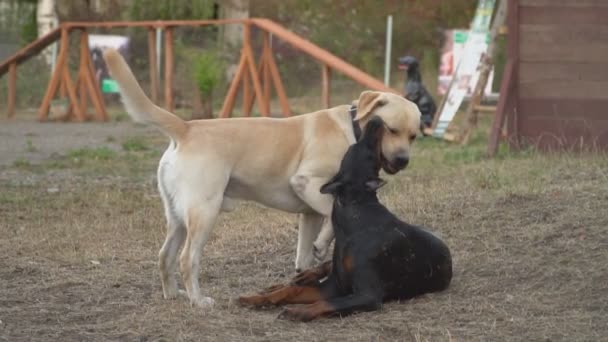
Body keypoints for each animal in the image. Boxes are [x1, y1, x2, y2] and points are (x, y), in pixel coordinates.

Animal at [103, 49, 418, 308]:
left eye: (413, 135)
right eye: (390, 129)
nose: (403, 160)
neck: (352, 130)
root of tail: (186, 127)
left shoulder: (308, 214)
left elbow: (305, 253)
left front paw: (306, 272)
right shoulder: (307, 183)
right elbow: (331, 212)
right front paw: (321, 245)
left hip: (178, 217)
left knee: (164, 255)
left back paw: (172, 294)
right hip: (204, 212)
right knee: (186, 259)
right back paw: (198, 301)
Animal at [238, 116, 452, 322]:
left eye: (368, 152)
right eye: (360, 148)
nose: (376, 119)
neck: (356, 214)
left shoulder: (367, 295)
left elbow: (326, 303)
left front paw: (298, 311)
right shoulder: (334, 285)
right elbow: (292, 290)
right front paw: (256, 298)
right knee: (316, 271)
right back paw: (300, 277)